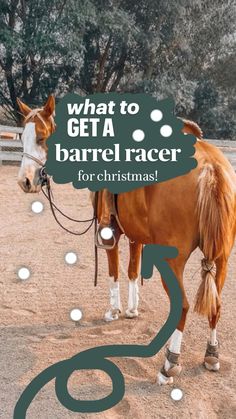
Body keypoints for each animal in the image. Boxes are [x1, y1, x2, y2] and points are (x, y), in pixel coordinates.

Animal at [17, 97, 235, 386]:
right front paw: (132, 310)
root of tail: (211, 167)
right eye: (23, 137)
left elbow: (114, 271)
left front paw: (114, 311)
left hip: (173, 260)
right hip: (222, 257)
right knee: (216, 305)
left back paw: (170, 364)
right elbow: (132, 270)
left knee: (183, 307)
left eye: (41, 137)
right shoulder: (135, 234)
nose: (25, 181)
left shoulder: (110, 232)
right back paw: (212, 355)